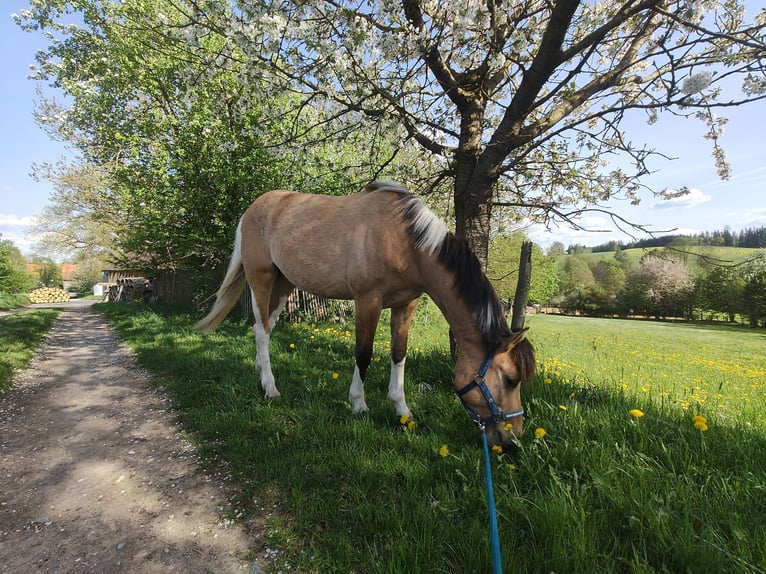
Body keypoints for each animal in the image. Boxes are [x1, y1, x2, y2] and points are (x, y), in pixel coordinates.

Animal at [195, 181, 536, 450]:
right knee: (263, 330)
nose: (514, 439)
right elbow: (364, 353)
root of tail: (252, 210)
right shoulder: (367, 301)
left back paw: (259, 372)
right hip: (261, 280)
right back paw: (270, 387)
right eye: (510, 379)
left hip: (284, 284)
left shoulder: (406, 305)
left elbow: (399, 354)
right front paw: (359, 404)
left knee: (263, 326)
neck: (405, 243)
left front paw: (401, 409)